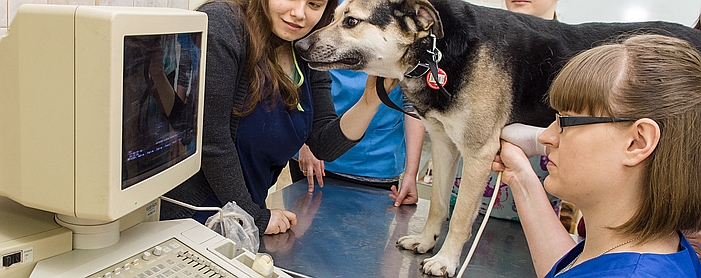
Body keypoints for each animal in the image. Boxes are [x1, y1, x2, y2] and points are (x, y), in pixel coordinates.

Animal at [294, 0, 700, 274]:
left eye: (351, 21)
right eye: (334, 15)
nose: (298, 47)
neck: (436, 52)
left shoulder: (478, 153)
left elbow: (460, 216)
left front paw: (445, 260)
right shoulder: (444, 145)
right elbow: (438, 205)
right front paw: (426, 242)